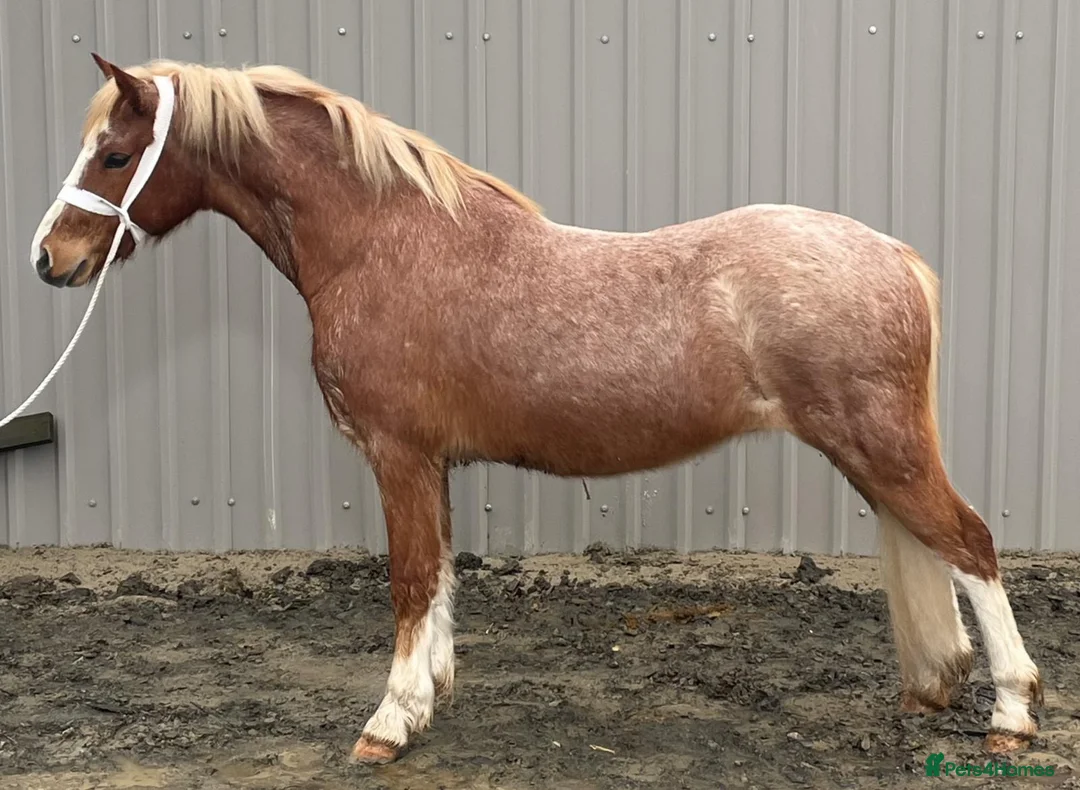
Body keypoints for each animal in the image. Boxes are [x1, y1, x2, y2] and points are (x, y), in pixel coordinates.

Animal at [30, 54, 1042, 764]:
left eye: (115, 154)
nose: (50, 259)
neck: (381, 241)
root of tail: (893, 254)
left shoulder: (397, 454)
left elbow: (408, 581)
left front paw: (388, 724)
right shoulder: (429, 463)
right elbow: (438, 576)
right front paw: (430, 694)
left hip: (882, 447)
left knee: (973, 546)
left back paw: (1012, 714)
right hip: (871, 454)